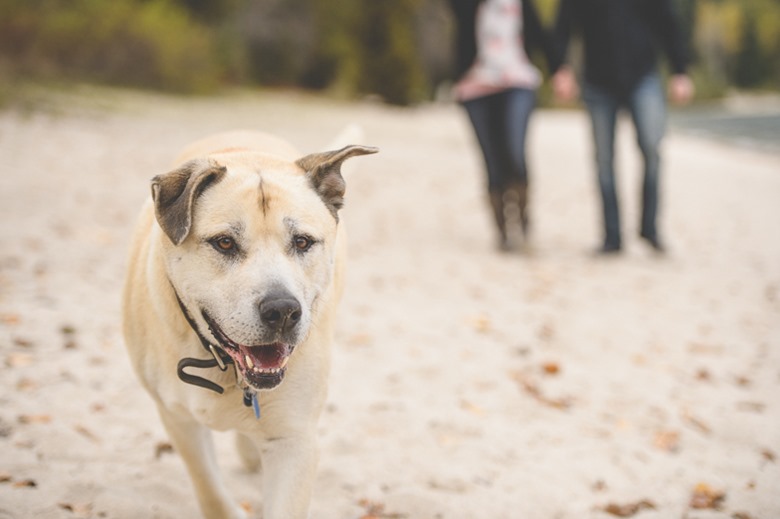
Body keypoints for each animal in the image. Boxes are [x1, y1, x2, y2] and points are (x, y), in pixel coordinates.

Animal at [122, 127, 378, 519]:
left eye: (302, 242)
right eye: (225, 243)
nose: (283, 310)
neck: (223, 366)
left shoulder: (294, 439)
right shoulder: (178, 419)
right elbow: (210, 490)